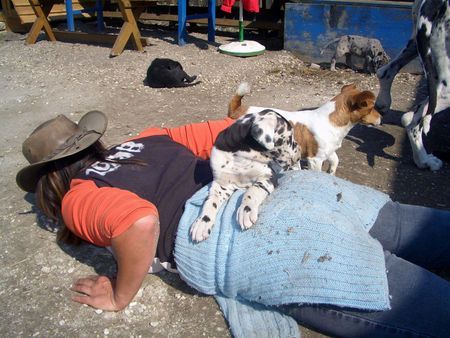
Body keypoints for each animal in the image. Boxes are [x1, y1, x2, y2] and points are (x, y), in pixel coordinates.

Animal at [188, 109, 300, 242]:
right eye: (289, 138)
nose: (299, 150)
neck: (241, 158)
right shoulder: (221, 186)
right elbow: (210, 201)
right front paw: (202, 222)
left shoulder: (267, 177)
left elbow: (252, 190)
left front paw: (246, 210)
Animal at [230, 82, 382, 174]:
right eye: (372, 107)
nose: (381, 118)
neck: (331, 121)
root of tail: (239, 110)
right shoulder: (315, 159)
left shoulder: (329, 151)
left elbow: (335, 162)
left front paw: (331, 174)